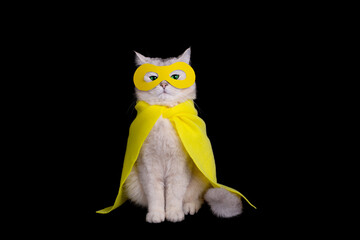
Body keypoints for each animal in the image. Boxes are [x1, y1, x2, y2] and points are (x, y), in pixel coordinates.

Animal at [122, 47, 243, 223]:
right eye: (153, 78)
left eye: (175, 77)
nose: (163, 84)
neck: (165, 114)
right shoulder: (149, 166)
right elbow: (156, 195)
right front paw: (157, 214)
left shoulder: (179, 167)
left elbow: (174, 194)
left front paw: (174, 213)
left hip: (200, 178)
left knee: (197, 197)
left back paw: (189, 207)